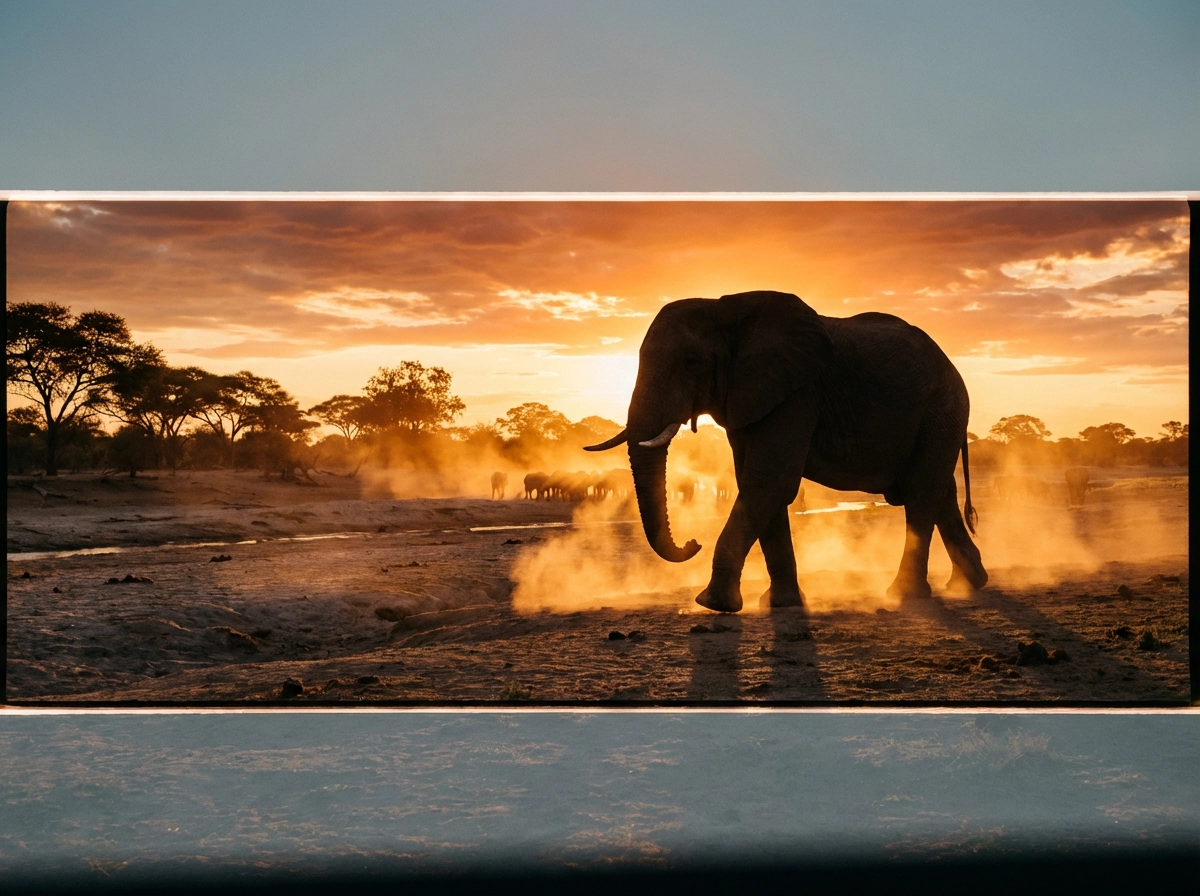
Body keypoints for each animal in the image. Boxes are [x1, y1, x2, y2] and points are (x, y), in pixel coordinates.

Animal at [585, 290, 986, 612]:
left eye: (691, 362)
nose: (693, 542)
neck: (724, 308)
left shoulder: (796, 392)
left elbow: (767, 484)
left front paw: (713, 604)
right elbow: (764, 489)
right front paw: (781, 605)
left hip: (941, 410)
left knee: (921, 494)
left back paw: (905, 595)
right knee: (940, 493)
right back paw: (968, 584)